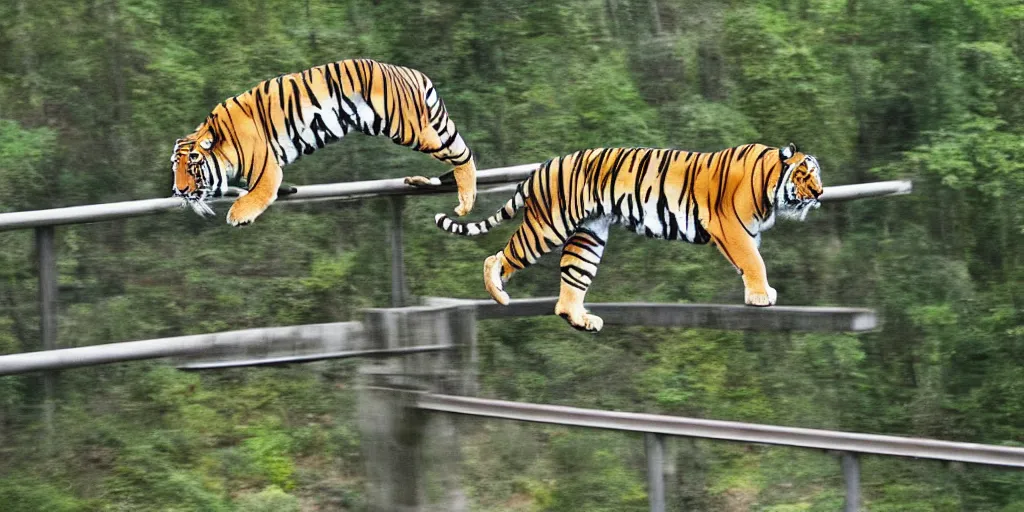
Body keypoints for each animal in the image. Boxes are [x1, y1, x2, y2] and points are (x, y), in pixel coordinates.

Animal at [169, 57, 477, 225]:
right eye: (175, 167)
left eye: (192, 168)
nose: (178, 191)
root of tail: (412, 72)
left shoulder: (266, 168)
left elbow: (258, 192)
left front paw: (238, 215)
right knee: (458, 150)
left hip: (409, 127)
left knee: (462, 154)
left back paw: (464, 199)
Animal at [432, 142, 823, 331]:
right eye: (804, 175)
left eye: (816, 174)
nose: (820, 193)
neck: (768, 182)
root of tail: (540, 170)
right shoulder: (731, 227)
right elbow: (754, 261)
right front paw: (761, 296)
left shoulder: (744, 232)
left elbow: (750, 262)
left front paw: (758, 292)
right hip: (547, 226)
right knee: (500, 256)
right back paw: (497, 291)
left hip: (588, 237)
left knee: (570, 288)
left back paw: (582, 321)